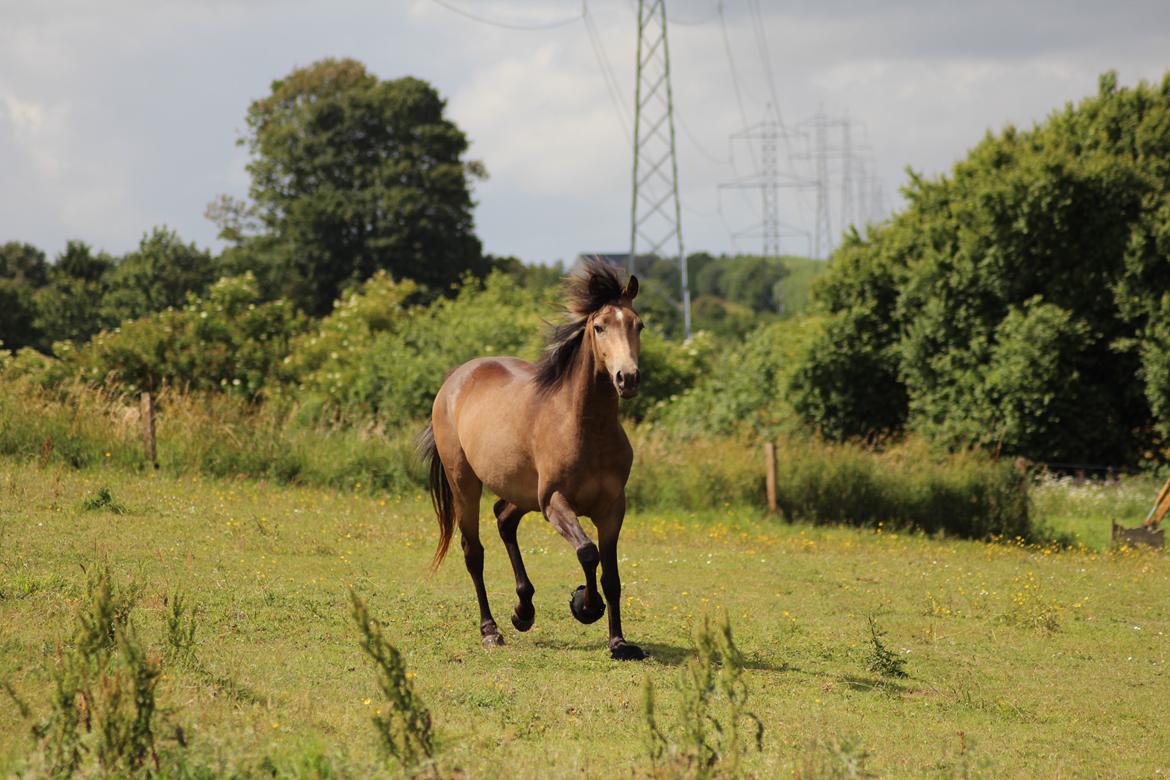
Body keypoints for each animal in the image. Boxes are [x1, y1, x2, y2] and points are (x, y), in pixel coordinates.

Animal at [418, 260, 650, 659]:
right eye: (600, 326)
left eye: (638, 325)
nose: (628, 378)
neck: (585, 426)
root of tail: (455, 380)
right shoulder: (555, 502)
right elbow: (587, 552)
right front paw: (584, 605)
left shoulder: (612, 508)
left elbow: (611, 575)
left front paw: (619, 642)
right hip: (465, 483)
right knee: (473, 552)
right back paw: (491, 630)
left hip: (522, 492)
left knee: (504, 519)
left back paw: (523, 611)